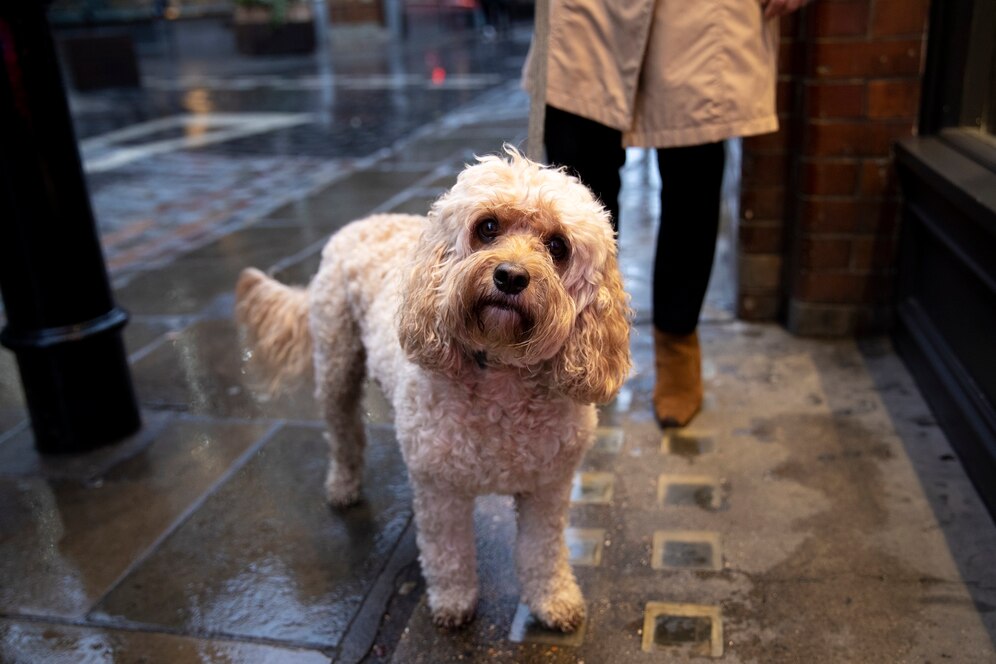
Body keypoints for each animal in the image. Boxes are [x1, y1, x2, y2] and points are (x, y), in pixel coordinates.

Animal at [235, 148, 632, 632]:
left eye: (558, 246)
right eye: (487, 227)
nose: (510, 277)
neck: (501, 372)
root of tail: (364, 220)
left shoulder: (549, 488)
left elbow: (542, 552)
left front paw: (553, 600)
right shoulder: (441, 490)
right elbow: (448, 554)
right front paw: (454, 603)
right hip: (336, 368)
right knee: (344, 434)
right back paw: (344, 486)